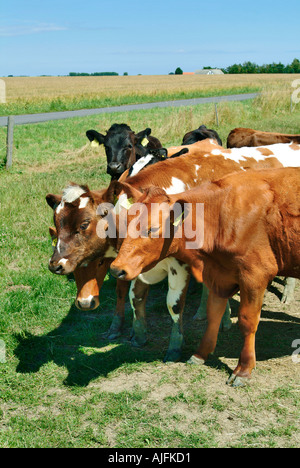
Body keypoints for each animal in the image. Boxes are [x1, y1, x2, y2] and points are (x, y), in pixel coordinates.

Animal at [45, 141, 300, 360]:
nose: (55, 264)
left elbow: (173, 304)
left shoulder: (180, 265)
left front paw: (175, 345)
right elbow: (135, 296)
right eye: (57, 224)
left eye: (84, 224)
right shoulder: (138, 264)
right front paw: (139, 334)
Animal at [109, 166, 300, 386]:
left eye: (153, 229)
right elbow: (213, 314)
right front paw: (201, 354)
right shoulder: (219, 275)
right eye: (127, 222)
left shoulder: (255, 276)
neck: (220, 214)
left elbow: (247, 322)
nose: (116, 269)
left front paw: (243, 369)